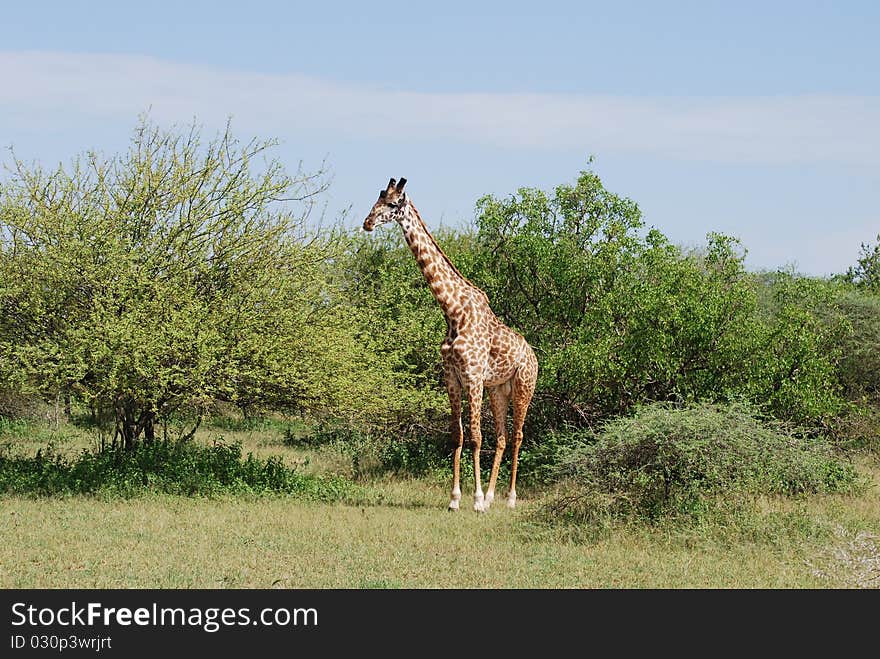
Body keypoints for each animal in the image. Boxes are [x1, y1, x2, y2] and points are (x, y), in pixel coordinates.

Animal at [362, 178, 540, 512]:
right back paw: (494, 497)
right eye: (376, 200)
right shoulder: (452, 378)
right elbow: (458, 436)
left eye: (393, 204)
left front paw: (477, 500)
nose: (367, 223)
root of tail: (534, 356)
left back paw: (509, 499)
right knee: (501, 437)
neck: (452, 311)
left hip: (524, 386)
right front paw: (456, 499)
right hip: (498, 390)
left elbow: (475, 437)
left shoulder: (473, 377)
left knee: (518, 435)